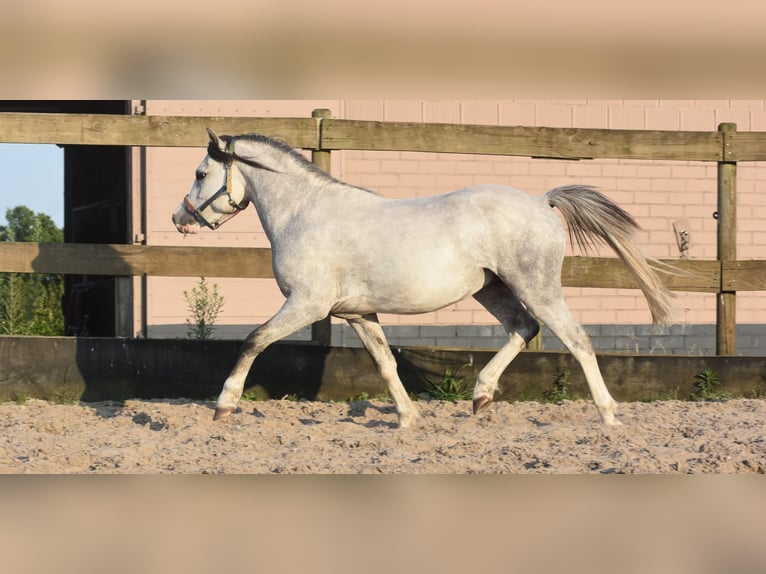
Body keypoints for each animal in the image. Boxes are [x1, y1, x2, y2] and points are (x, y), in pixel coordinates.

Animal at [172, 129, 673, 428]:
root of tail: (541, 201)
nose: (180, 218)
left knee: (576, 338)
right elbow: (385, 363)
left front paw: (224, 405)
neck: (303, 213)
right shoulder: (357, 314)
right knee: (524, 328)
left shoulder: (306, 304)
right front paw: (407, 418)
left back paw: (608, 415)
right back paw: (480, 396)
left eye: (200, 172)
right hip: (493, 288)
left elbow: (253, 340)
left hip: (537, 286)